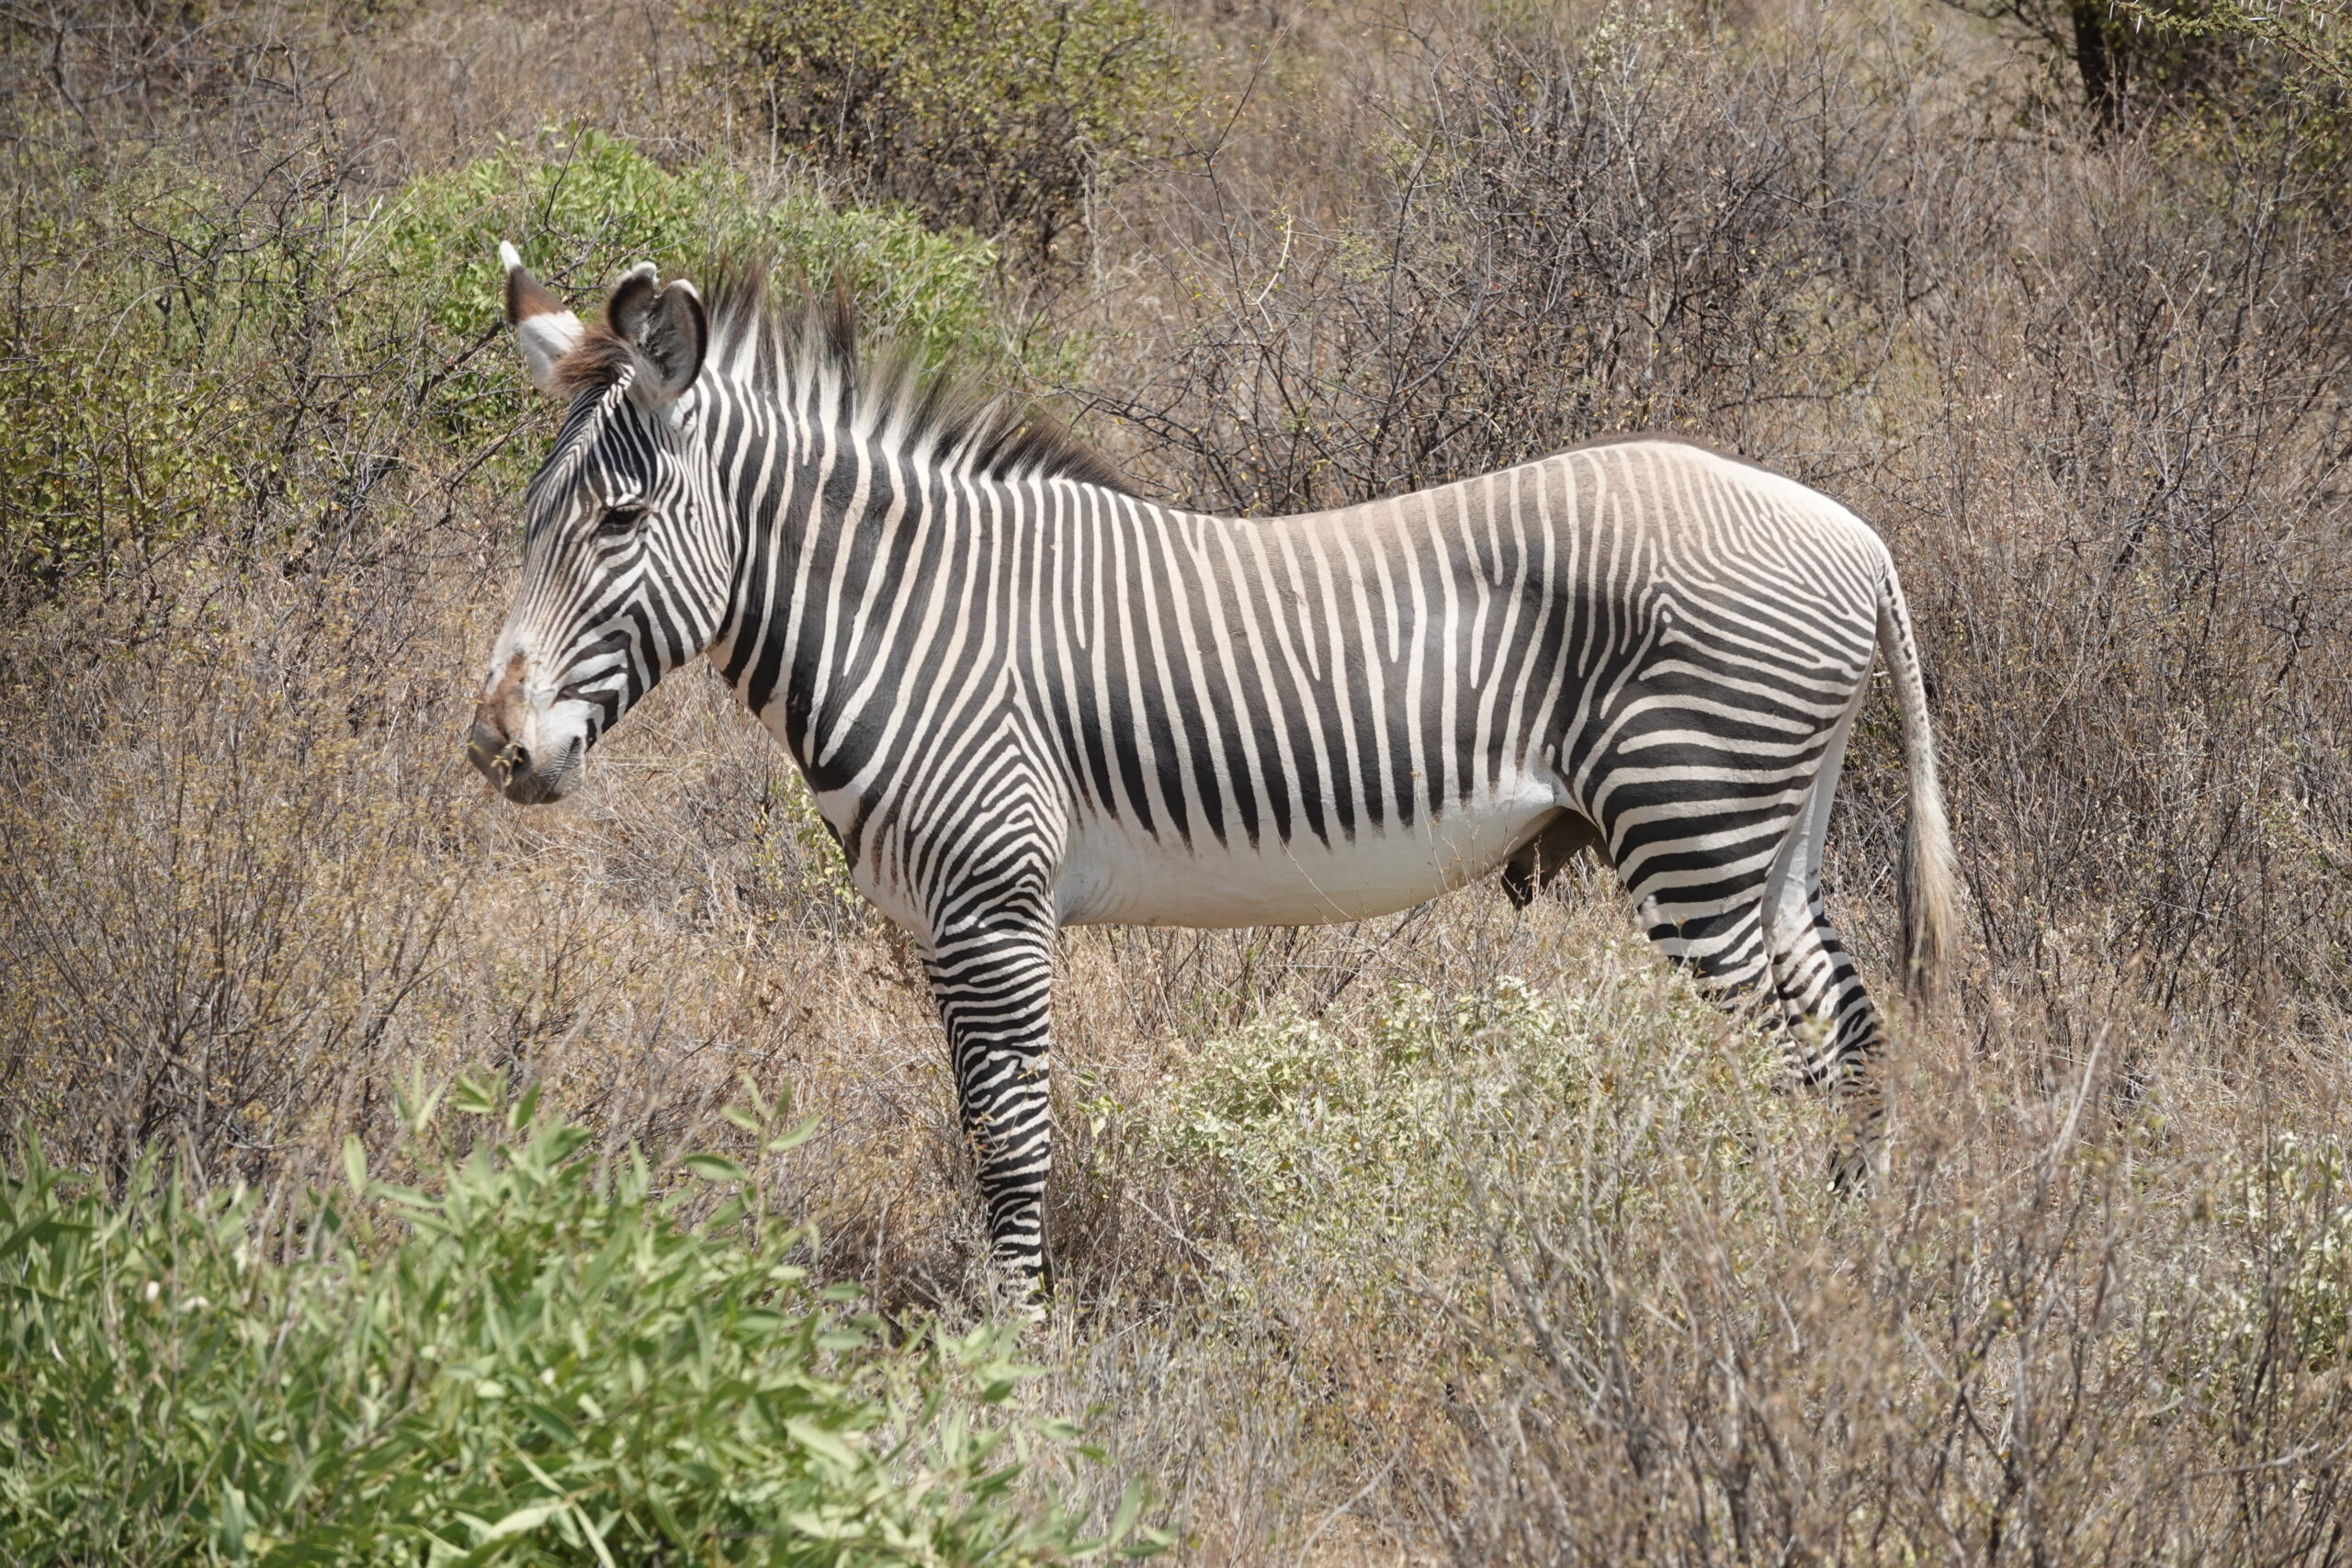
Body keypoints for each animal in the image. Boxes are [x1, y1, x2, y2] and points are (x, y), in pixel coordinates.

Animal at [467, 249, 1960, 1295]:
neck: (918, 617)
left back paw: (1762, 1266)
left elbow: (1012, 1139)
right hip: (1766, 838)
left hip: (1691, 829)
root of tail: (1853, 534)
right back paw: (1846, 1269)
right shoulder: (948, 923)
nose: (496, 748)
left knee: (1796, 1059)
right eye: (531, 517)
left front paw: (1014, 1360)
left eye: (619, 520)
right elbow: (981, 1128)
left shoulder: (996, 908)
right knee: (1852, 1036)